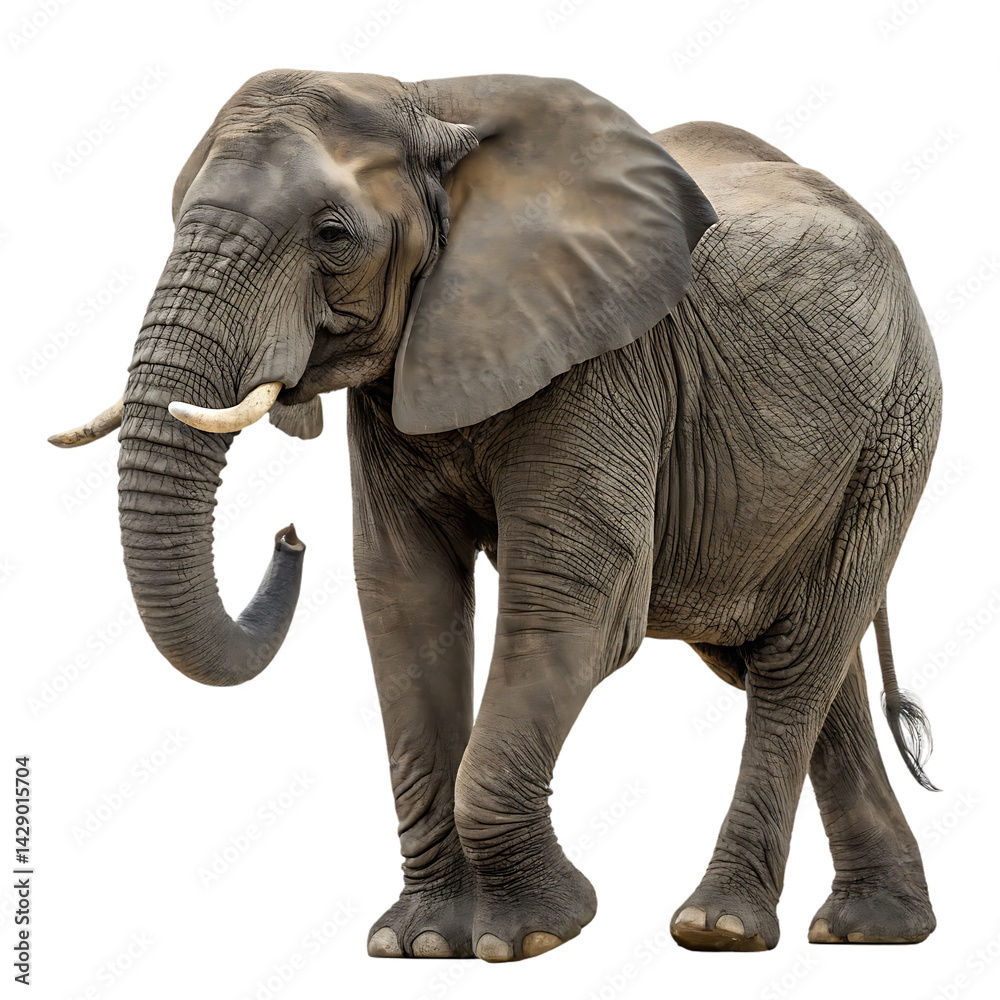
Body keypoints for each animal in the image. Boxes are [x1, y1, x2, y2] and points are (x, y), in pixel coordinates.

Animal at [51, 71, 941, 961]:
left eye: (332, 235)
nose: (290, 533)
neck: (428, 103)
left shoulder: (606, 361)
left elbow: (576, 600)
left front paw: (534, 935)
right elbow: (406, 602)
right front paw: (420, 943)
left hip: (893, 429)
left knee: (797, 660)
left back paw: (719, 928)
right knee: (794, 661)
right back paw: (873, 929)